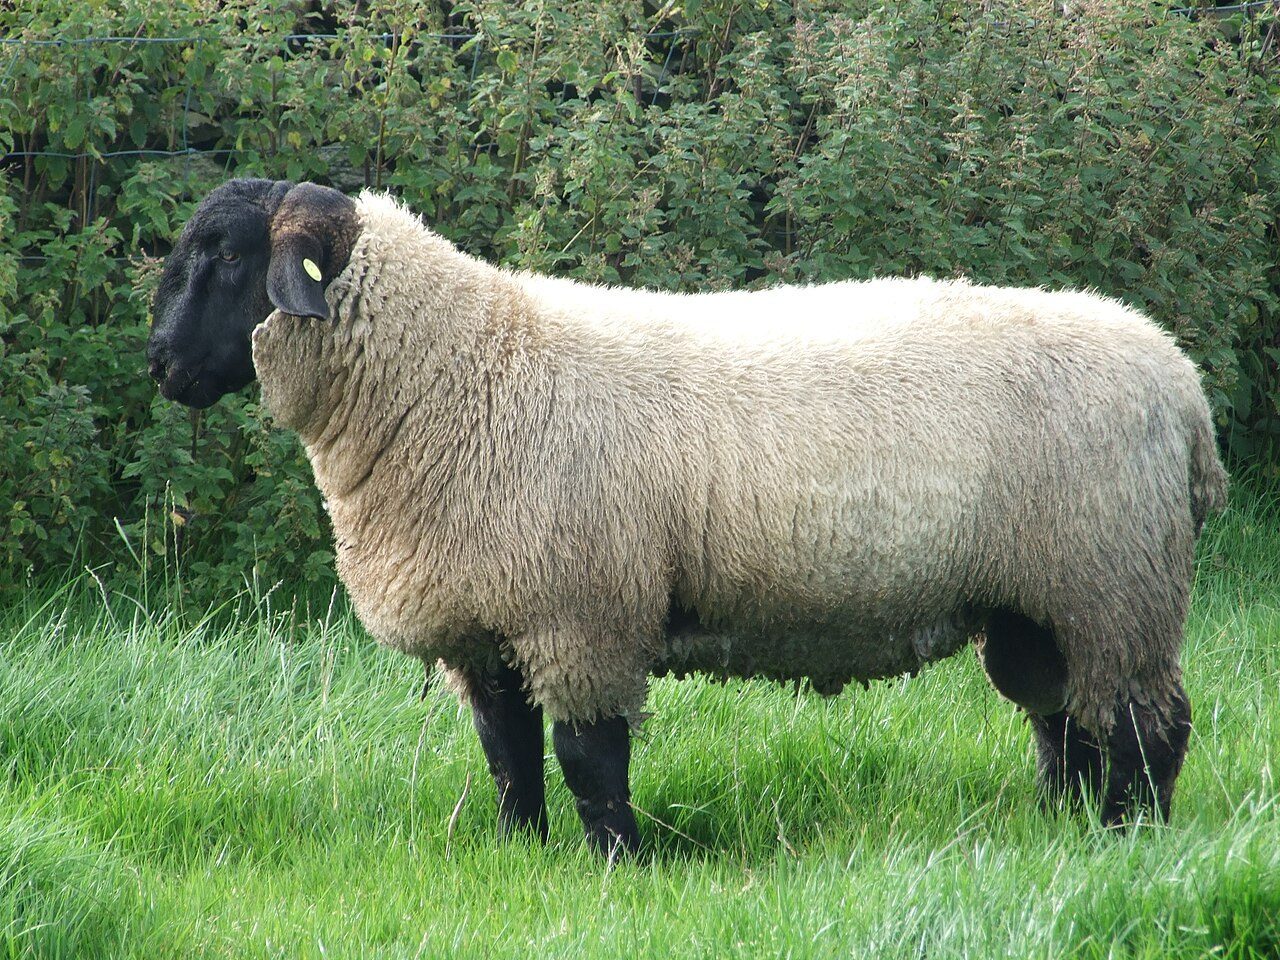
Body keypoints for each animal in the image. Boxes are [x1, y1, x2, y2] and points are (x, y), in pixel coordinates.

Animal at [147, 178, 1228, 856]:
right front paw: (519, 855)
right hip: (1039, 599)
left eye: (229, 255)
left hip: (1115, 580)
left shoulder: (580, 614)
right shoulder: (488, 627)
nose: (159, 365)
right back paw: (1059, 826)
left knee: (1148, 725)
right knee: (1065, 718)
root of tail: (1178, 384)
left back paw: (1131, 840)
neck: (459, 369)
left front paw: (617, 867)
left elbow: (589, 759)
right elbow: (507, 758)